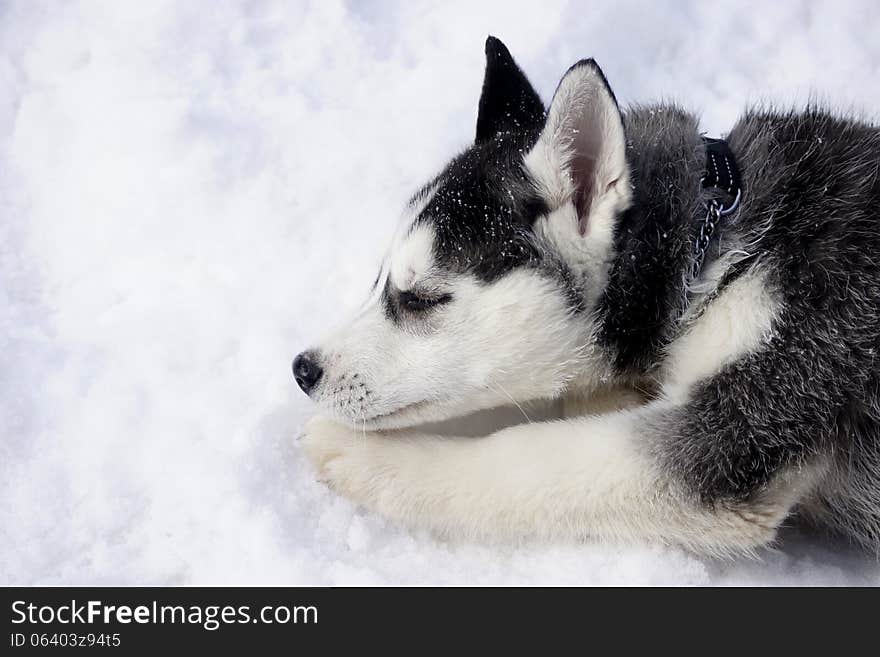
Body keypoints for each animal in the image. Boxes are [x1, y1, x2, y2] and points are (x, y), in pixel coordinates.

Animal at [294, 36, 880, 556]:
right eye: (378, 280)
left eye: (420, 297)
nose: (304, 369)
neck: (711, 259)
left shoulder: (759, 405)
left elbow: (523, 453)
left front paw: (356, 453)